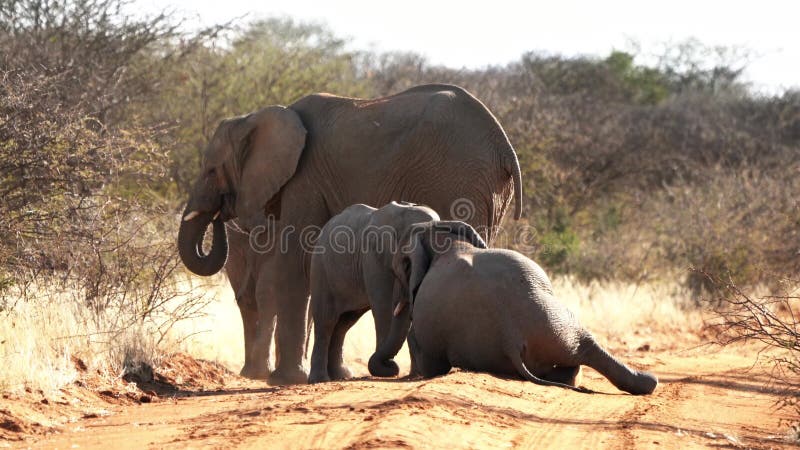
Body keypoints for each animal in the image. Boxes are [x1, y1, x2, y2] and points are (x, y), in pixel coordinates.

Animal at [177, 83, 520, 384]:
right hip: (485, 189)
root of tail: (504, 146)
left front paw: (285, 380)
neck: (257, 117)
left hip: (457, 179)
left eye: (211, 170)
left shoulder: (304, 180)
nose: (219, 215)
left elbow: (295, 260)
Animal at [378, 223, 660, 396]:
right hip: (548, 320)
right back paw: (647, 382)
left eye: (397, 270)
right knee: (585, 347)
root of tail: (510, 337)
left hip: (547, 317)